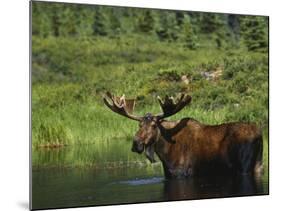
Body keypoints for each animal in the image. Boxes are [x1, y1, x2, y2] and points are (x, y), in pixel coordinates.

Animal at [103, 92, 262, 178]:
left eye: (154, 125)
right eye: (139, 125)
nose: (136, 143)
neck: (165, 153)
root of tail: (259, 135)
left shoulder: (182, 174)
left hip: (244, 166)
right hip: (258, 164)